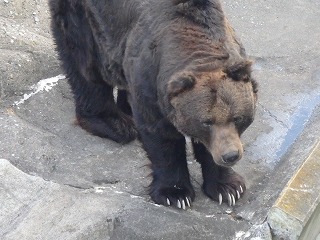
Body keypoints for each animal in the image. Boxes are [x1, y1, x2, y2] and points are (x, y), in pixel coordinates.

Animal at [48, 0, 258, 209]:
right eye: (206, 122)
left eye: (237, 118)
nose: (230, 155)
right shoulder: (151, 79)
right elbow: (161, 136)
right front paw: (175, 194)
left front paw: (228, 188)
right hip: (84, 14)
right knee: (84, 59)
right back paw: (115, 124)